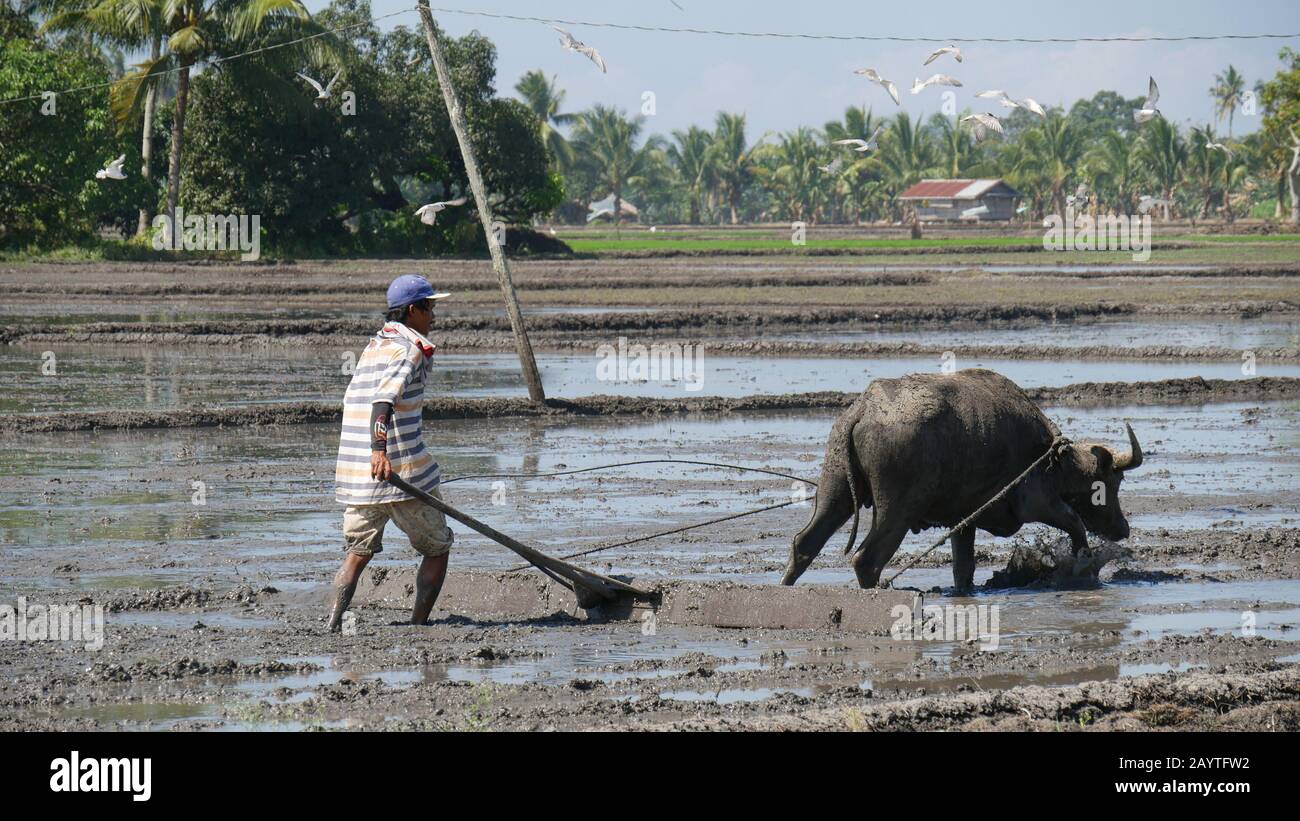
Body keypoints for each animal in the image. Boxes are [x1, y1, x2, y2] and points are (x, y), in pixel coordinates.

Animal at [774, 371, 1144, 589]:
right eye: (1112, 483)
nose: (1123, 528)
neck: (1050, 457)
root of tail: (864, 409)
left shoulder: (963, 522)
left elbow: (963, 569)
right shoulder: (1037, 502)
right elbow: (1075, 524)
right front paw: (1085, 569)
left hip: (834, 490)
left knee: (804, 543)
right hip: (896, 510)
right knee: (867, 559)